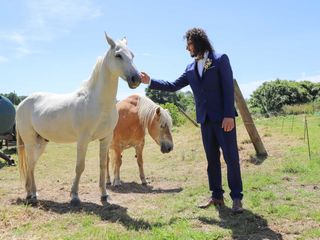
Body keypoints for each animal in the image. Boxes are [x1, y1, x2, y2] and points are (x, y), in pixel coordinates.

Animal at [15, 32, 140, 206]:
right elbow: (80, 166)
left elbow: (103, 165)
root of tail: (22, 103)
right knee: (30, 164)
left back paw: (31, 192)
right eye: (118, 55)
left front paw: (104, 195)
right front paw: (74, 196)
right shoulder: (83, 140)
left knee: (31, 164)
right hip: (30, 141)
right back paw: (31, 194)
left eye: (132, 55)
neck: (97, 101)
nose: (136, 78)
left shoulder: (105, 138)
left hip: (41, 141)